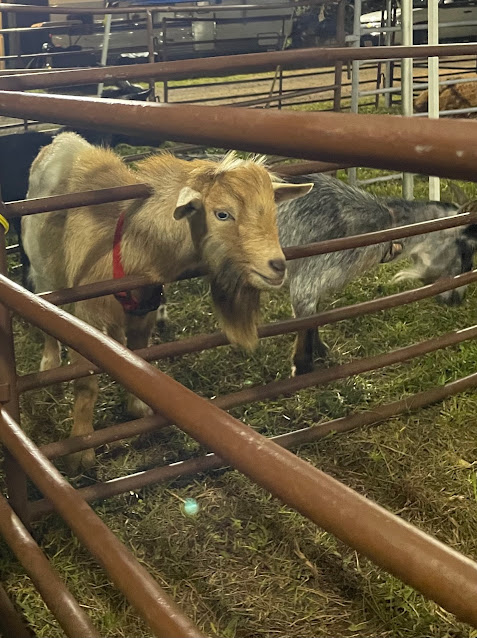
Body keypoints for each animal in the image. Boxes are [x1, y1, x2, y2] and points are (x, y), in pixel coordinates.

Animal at [23, 132, 312, 471]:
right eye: (222, 213)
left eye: (271, 211)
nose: (277, 266)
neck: (128, 242)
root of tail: (62, 139)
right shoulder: (86, 316)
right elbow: (85, 382)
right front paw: (81, 448)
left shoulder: (144, 310)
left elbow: (138, 354)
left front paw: (138, 405)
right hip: (43, 273)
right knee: (45, 314)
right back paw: (50, 364)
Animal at [277, 174, 477, 376]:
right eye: (467, 249)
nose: (457, 299)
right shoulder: (308, 277)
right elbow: (306, 321)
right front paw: (302, 368)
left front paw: (321, 351)